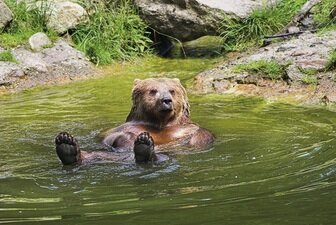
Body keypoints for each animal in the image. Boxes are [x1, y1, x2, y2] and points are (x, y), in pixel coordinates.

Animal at [54, 78, 214, 164]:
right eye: (153, 90)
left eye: (172, 90)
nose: (166, 100)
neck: (159, 123)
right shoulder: (124, 127)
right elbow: (114, 134)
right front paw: (132, 137)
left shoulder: (189, 130)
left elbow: (199, 136)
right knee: (92, 154)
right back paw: (66, 144)